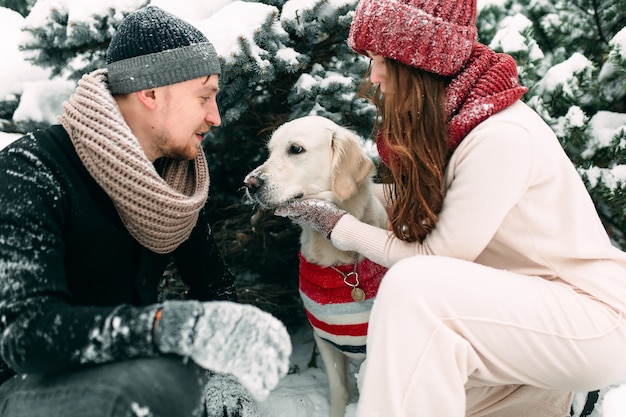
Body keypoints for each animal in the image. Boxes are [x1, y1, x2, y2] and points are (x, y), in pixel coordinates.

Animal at [243, 114, 386, 416]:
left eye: (295, 149)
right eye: (269, 151)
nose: (249, 183)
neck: (339, 261)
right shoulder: (325, 339)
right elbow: (339, 389)